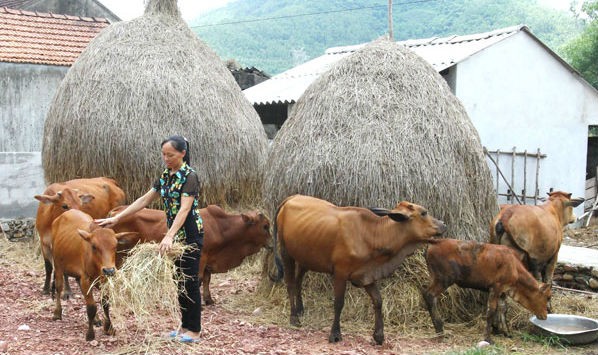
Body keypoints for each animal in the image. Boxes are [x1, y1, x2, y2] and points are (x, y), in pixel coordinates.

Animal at [51, 210, 138, 340]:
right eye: (94, 246)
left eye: (115, 246)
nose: (109, 270)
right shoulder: (86, 279)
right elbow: (91, 307)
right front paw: (90, 334)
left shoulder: (103, 280)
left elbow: (105, 303)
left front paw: (109, 327)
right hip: (58, 266)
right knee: (58, 287)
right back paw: (57, 312)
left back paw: (97, 319)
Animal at [106, 204, 270, 304]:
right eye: (265, 226)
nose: (272, 243)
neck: (221, 227)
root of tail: (115, 211)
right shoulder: (202, 257)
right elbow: (198, 279)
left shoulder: (208, 260)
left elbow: (207, 280)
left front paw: (209, 300)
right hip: (119, 256)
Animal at [274, 196, 448, 346]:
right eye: (424, 213)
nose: (444, 224)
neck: (371, 233)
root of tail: (292, 197)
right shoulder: (340, 273)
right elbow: (339, 303)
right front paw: (335, 334)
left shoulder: (366, 275)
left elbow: (378, 301)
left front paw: (379, 336)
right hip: (285, 252)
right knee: (290, 283)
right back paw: (294, 317)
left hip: (305, 258)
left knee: (298, 281)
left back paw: (300, 310)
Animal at [424, 239, 552, 344]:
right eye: (548, 297)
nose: (545, 316)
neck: (514, 267)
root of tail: (434, 243)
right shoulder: (495, 288)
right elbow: (491, 311)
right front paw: (488, 338)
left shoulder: (503, 292)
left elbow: (503, 309)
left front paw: (507, 333)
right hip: (443, 280)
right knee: (429, 295)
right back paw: (440, 331)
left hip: (435, 278)